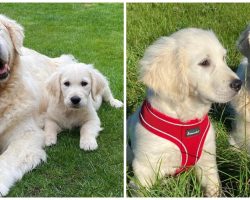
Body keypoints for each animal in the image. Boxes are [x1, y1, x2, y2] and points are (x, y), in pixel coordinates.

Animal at [128, 27, 241, 197]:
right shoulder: (145, 166)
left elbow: (214, 188)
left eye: (223, 58)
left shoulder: (207, 160)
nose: (239, 84)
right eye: (204, 62)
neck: (186, 121)